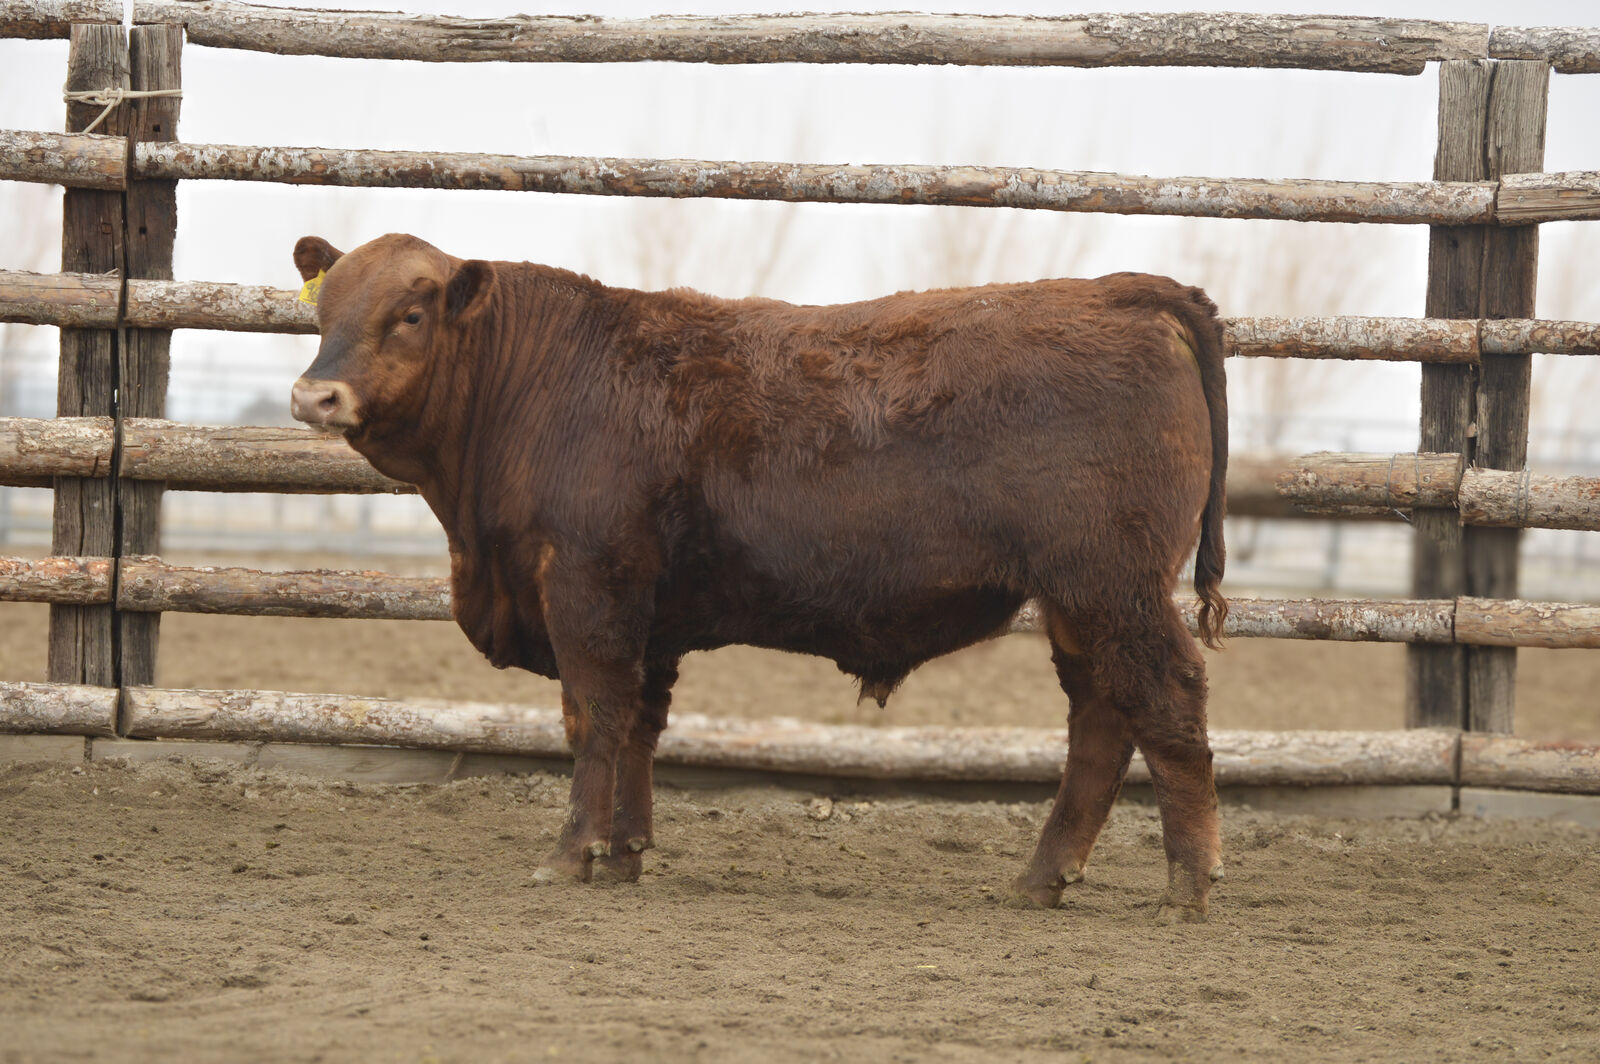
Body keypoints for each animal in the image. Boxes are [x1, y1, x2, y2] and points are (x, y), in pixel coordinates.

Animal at [289, 233, 1229, 921]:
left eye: (411, 313)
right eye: (324, 311)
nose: (314, 397)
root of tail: (1126, 289)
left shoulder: (588, 587)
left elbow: (593, 718)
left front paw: (571, 855)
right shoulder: (651, 616)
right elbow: (639, 727)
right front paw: (626, 853)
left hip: (1111, 583)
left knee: (1166, 701)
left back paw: (1187, 889)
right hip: (1079, 599)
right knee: (1102, 719)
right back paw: (1043, 879)